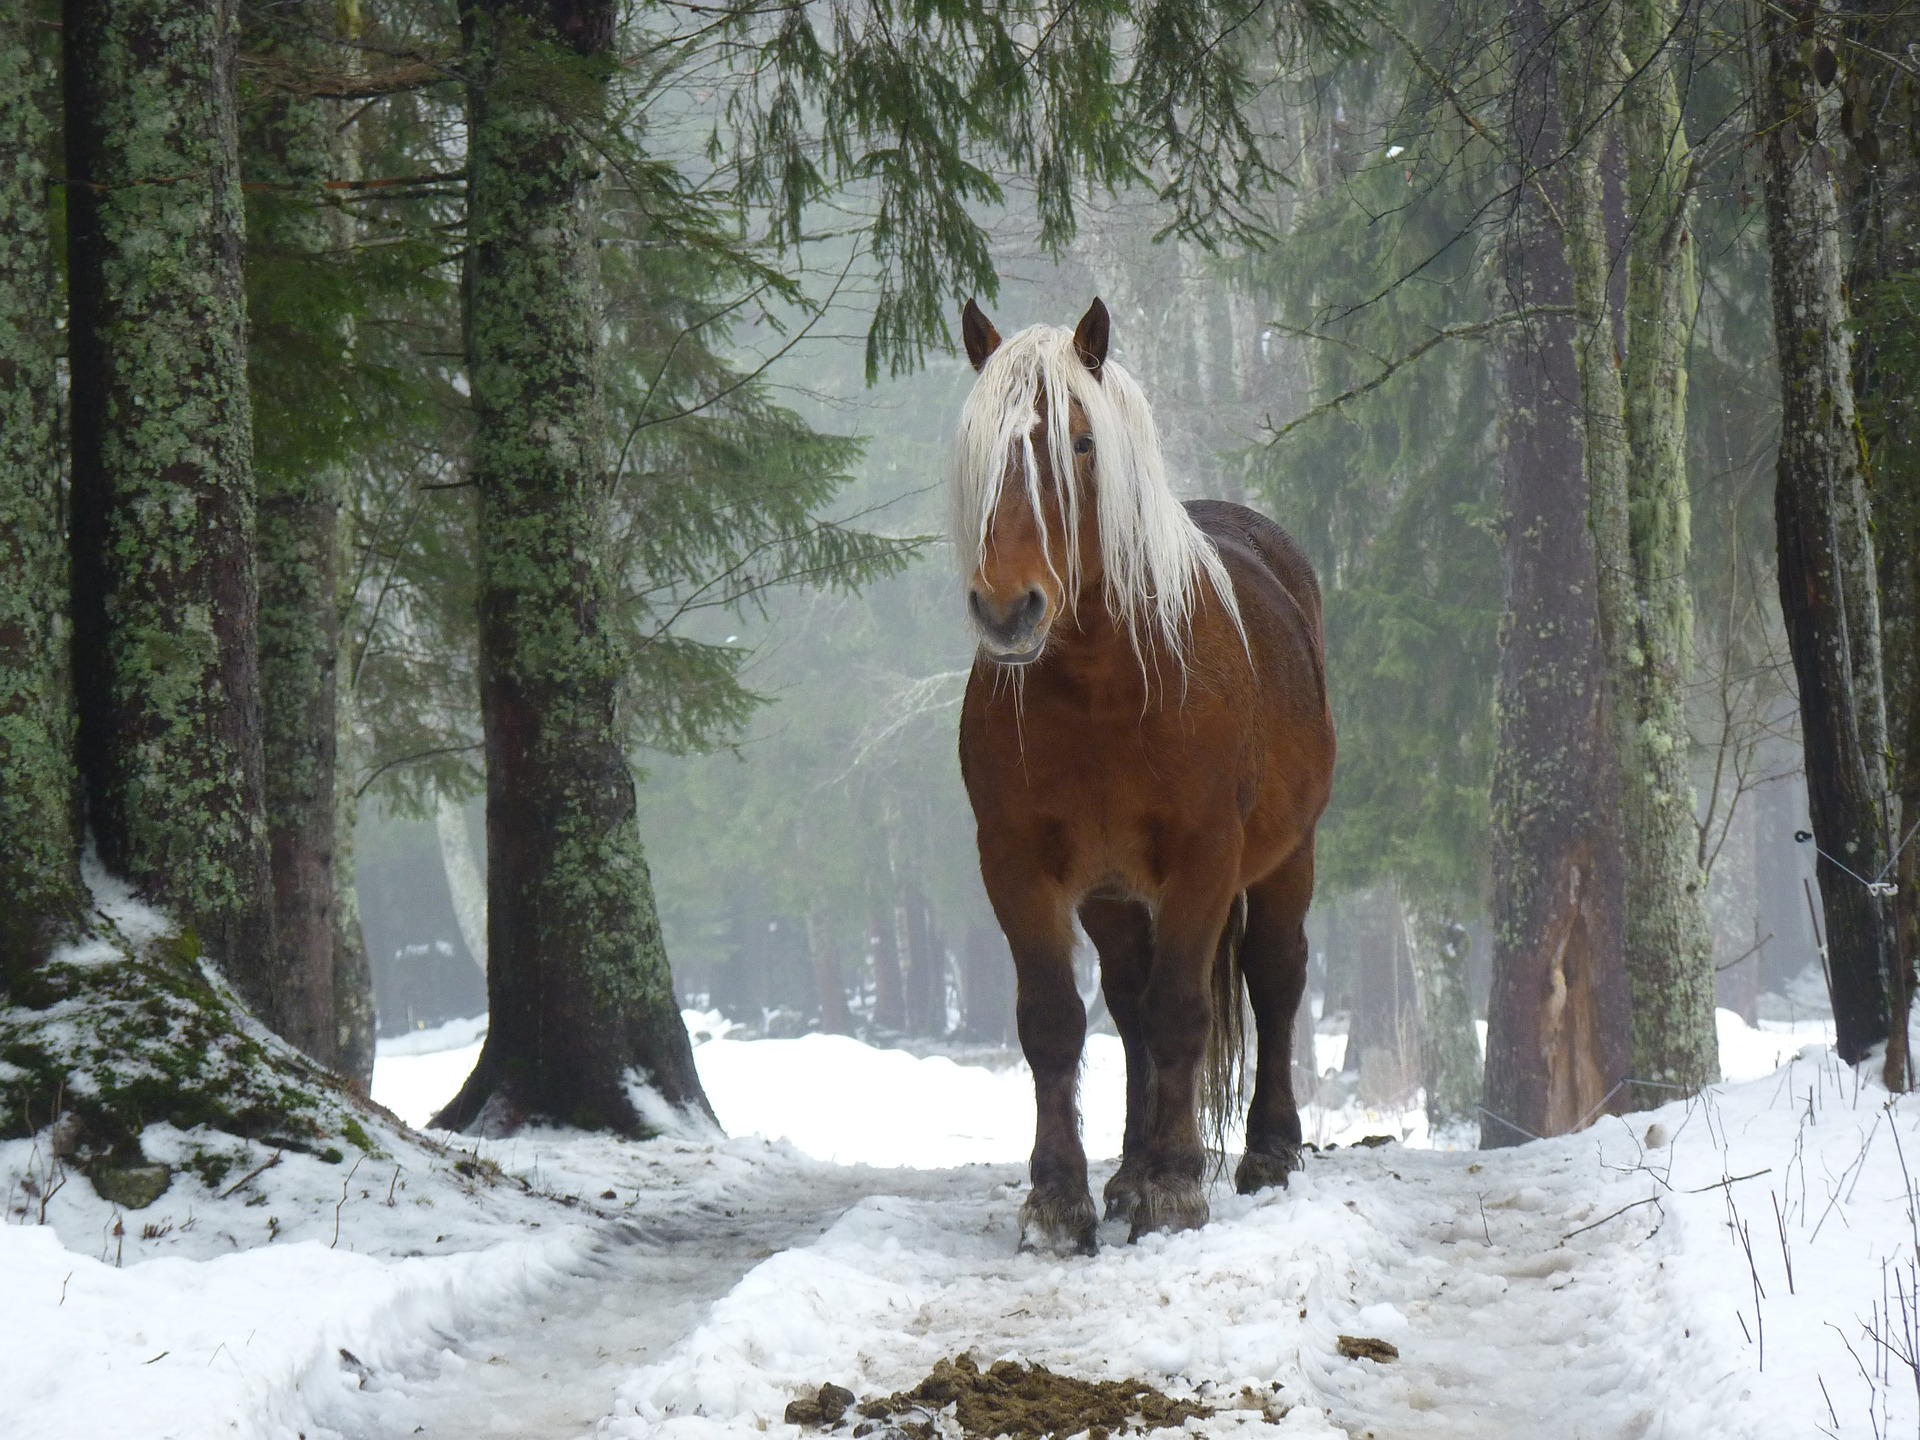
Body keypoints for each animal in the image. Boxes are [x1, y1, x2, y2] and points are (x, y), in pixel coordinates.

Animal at [956, 299, 1336, 1259]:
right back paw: (1125, 1172)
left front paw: (1174, 1189)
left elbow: (1181, 1013)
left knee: (1275, 979)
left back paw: (1265, 1152)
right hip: (1114, 894)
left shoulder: (1204, 859)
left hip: (1288, 857)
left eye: (1082, 443)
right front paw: (1061, 1200)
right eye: (977, 448)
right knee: (1126, 1009)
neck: (1105, 686)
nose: (1008, 608)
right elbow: (1056, 1021)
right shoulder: (1019, 866)